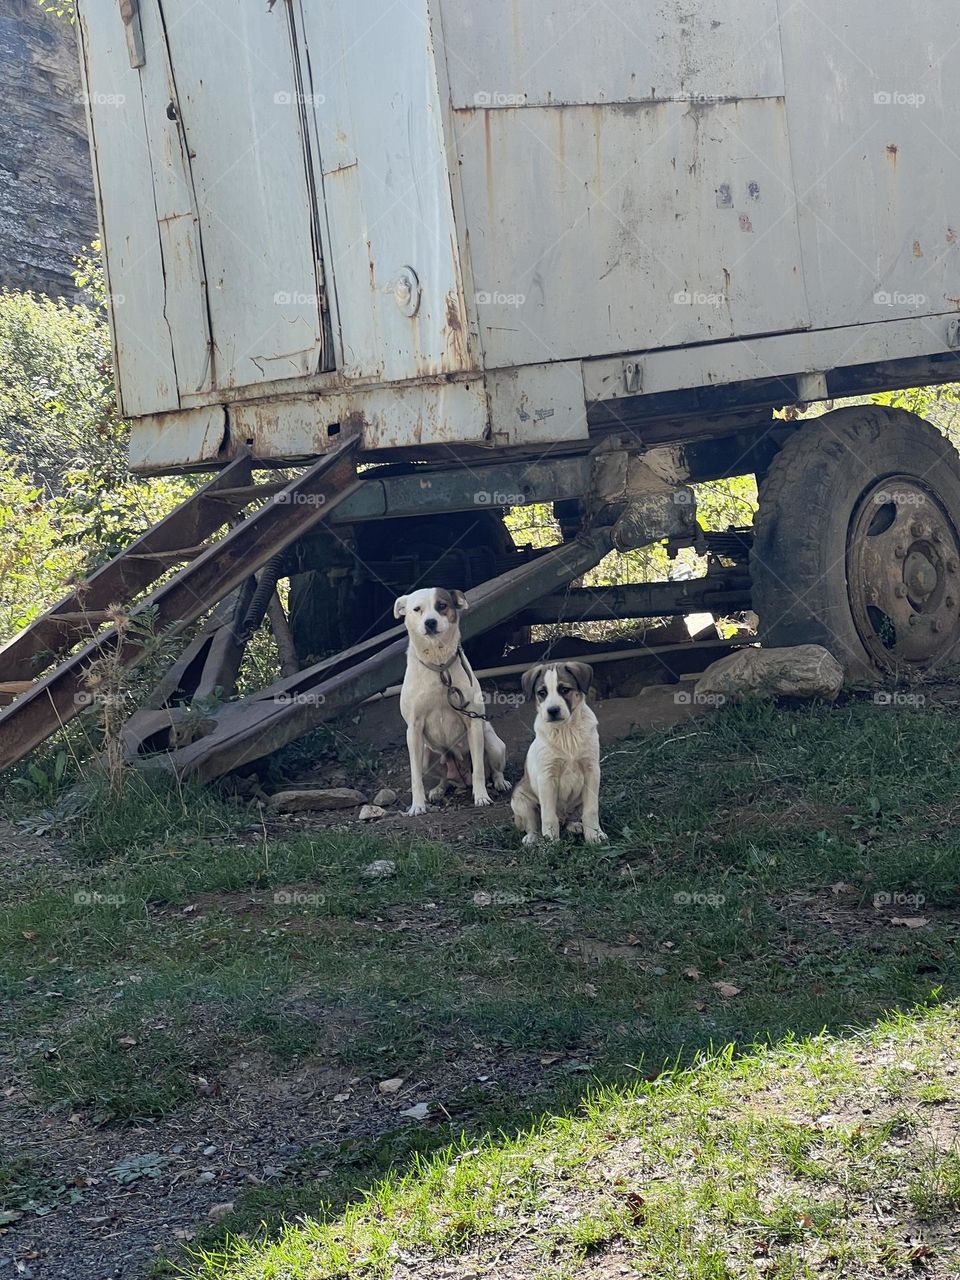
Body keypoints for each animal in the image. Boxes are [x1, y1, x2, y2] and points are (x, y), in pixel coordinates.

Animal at [391, 586, 512, 814]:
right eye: (417, 609)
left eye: (442, 605)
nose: (430, 622)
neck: (439, 667)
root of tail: (462, 778)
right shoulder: (414, 730)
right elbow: (415, 777)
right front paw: (417, 805)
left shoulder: (473, 722)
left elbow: (479, 770)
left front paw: (481, 796)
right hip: (427, 755)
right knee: (445, 779)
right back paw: (439, 790)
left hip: (493, 744)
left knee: (493, 769)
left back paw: (500, 782)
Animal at [512, 665, 609, 844]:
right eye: (542, 692)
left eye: (565, 690)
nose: (552, 710)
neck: (566, 730)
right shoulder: (547, 777)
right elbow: (548, 816)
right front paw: (551, 842)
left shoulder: (592, 771)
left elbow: (591, 810)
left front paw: (595, 835)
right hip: (521, 800)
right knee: (533, 823)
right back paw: (532, 838)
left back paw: (574, 825)